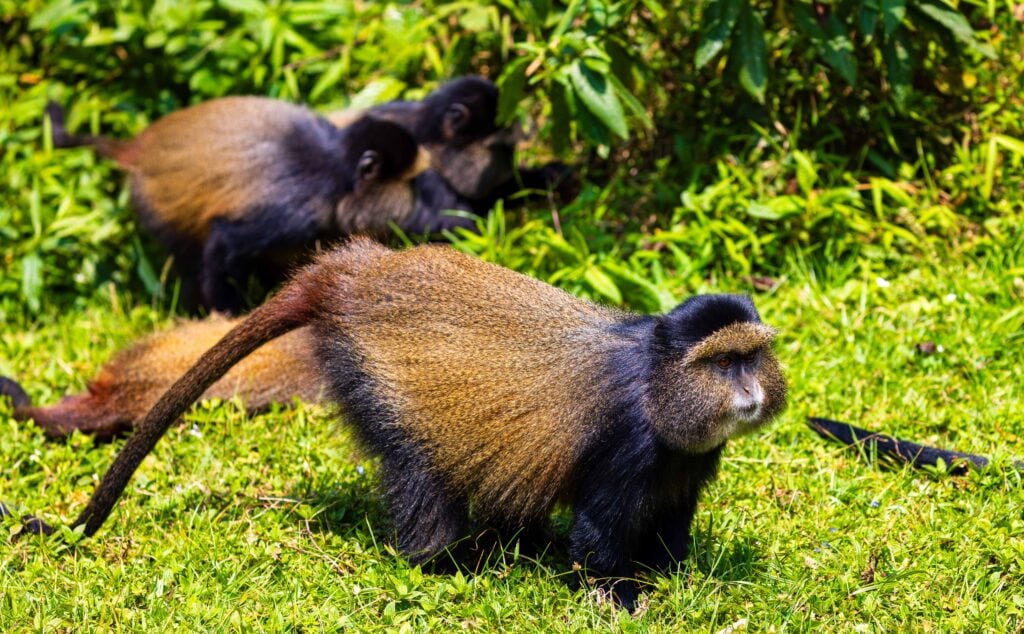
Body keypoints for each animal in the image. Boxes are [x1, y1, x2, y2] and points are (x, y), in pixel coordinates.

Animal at [47, 98, 430, 313]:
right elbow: (224, 242)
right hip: (154, 205)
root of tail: (139, 150)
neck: (336, 170)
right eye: (409, 183)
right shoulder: (298, 210)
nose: (419, 204)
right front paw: (231, 315)